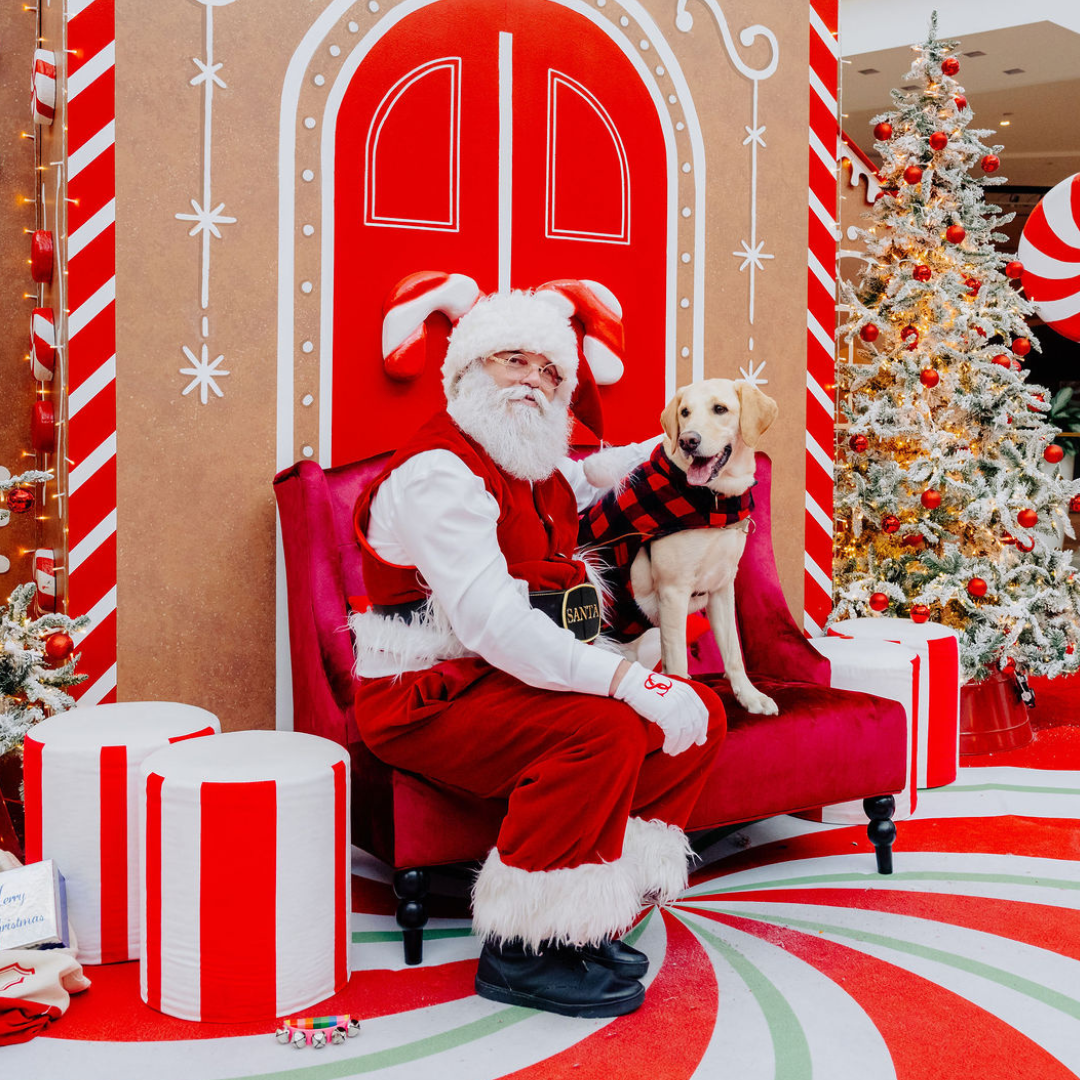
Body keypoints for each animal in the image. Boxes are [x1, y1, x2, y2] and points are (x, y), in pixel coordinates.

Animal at [578, 382, 781, 717]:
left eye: (720, 409)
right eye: (685, 412)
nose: (688, 440)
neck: (713, 501)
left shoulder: (721, 587)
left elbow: (733, 653)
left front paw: (750, 696)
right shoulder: (673, 591)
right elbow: (678, 662)